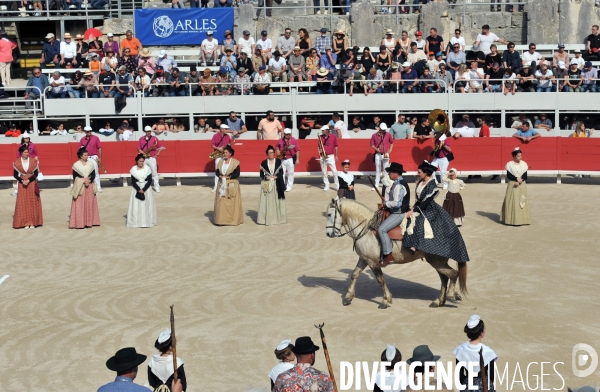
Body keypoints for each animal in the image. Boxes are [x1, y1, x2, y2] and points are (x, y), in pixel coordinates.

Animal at [326, 199, 466, 310]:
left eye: (329, 214)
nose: (328, 234)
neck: (367, 228)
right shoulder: (364, 259)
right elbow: (354, 275)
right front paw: (348, 298)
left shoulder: (373, 262)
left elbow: (380, 280)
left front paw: (385, 300)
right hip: (438, 261)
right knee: (444, 278)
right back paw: (438, 301)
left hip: (436, 261)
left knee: (453, 274)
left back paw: (451, 295)